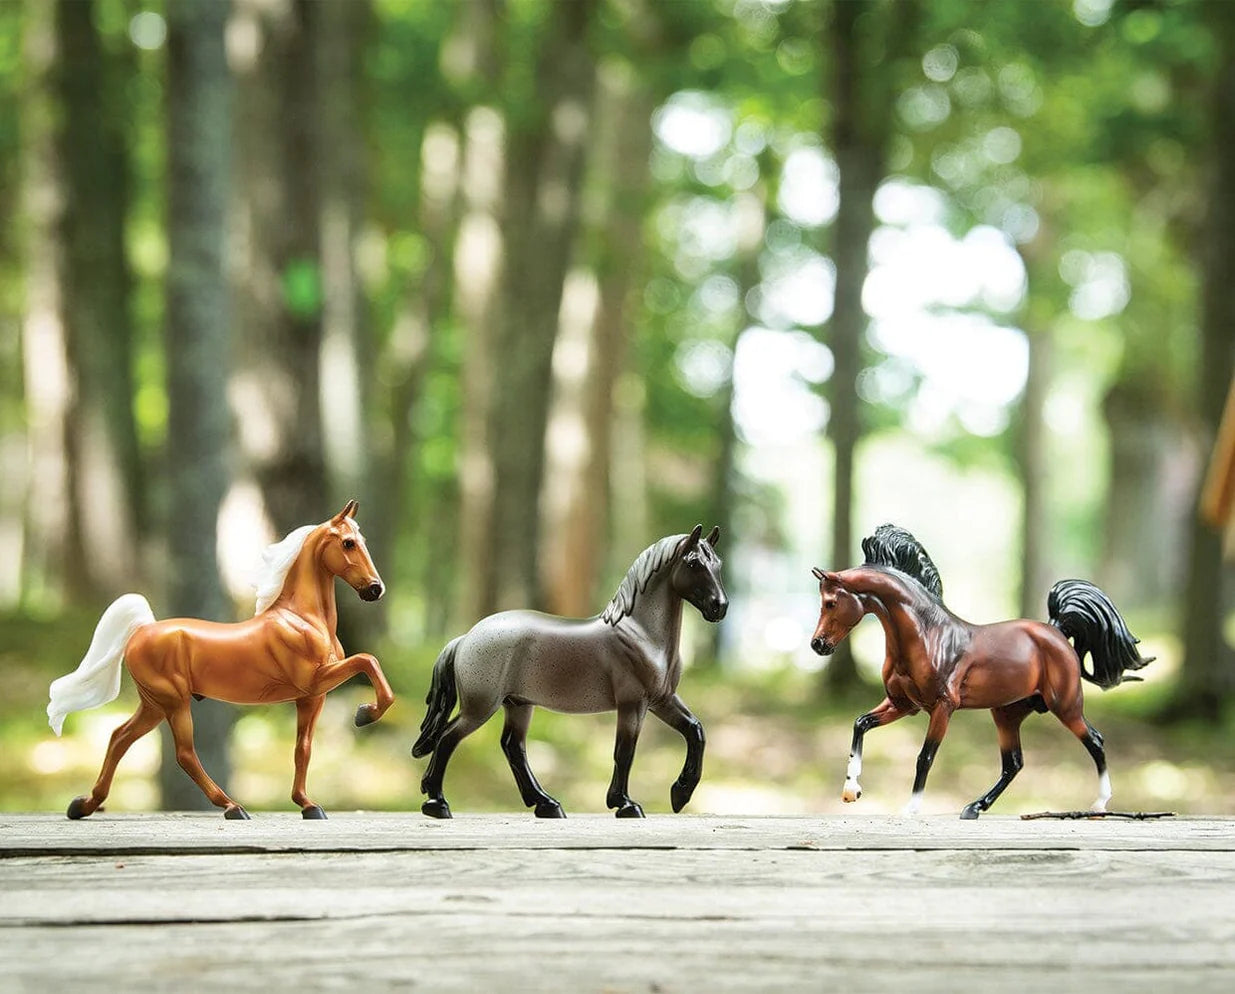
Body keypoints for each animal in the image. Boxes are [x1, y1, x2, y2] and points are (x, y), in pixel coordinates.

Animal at [49, 501, 390, 819]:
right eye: (348, 543)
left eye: (362, 540)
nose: (375, 589)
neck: (301, 619)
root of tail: (142, 629)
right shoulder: (315, 680)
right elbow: (367, 660)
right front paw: (366, 713)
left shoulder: (312, 697)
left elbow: (302, 749)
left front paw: (308, 805)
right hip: (173, 702)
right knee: (184, 754)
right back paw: (232, 806)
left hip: (154, 705)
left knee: (119, 738)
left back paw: (84, 805)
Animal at [410, 523, 726, 819]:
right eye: (694, 563)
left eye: (718, 563)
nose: (720, 607)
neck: (641, 635)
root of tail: (465, 638)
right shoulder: (633, 704)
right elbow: (624, 752)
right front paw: (625, 804)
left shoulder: (662, 700)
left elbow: (695, 730)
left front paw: (680, 794)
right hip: (481, 707)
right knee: (447, 739)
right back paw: (438, 804)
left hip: (518, 704)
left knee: (513, 747)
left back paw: (547, 804)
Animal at [810, 523, 1146, 819]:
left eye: (830, 603)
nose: (818, 645)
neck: (928, 636)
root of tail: (1057, 630)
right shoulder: (903, 705)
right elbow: (860, 724)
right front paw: (851, 791)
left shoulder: (943, 708)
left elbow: (924, 757)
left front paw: (910, 809)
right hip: (1007, 713)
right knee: (1013, 763)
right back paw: (974, 807)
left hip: (1065, 706)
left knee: (1096, 741)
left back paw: (1099, 805)